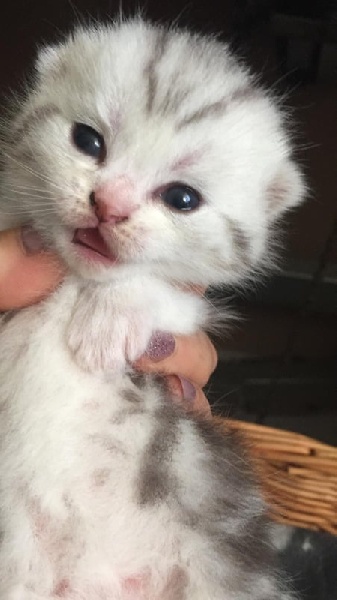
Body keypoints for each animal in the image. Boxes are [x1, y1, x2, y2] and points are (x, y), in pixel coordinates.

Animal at [0, 18, 304, 600]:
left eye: (182, 198)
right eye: (88, 140)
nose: (109, 206)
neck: (76, 276)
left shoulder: (190, 302)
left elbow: (167, 291)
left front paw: (108, 319)